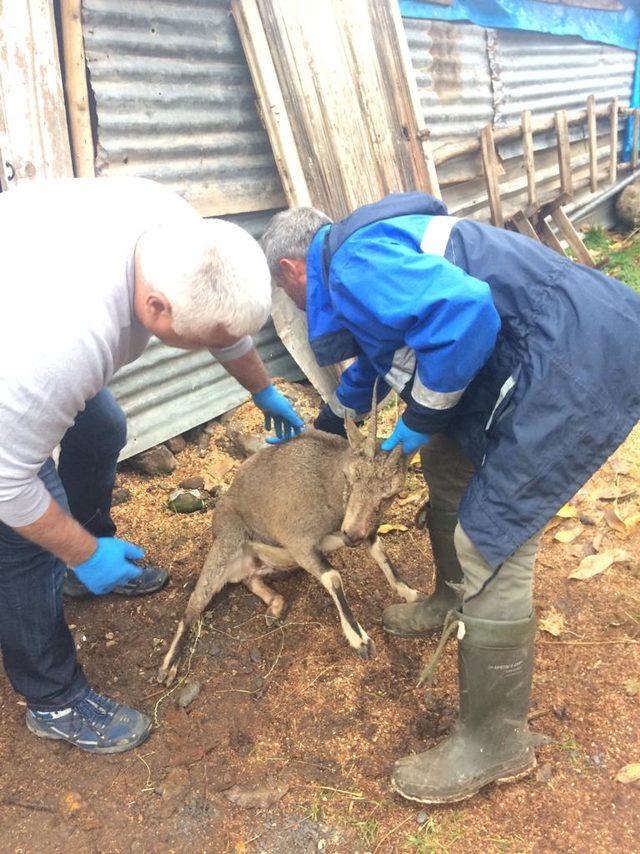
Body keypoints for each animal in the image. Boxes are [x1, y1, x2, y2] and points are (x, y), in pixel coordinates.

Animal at [158, 396, 420, 688]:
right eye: (350, 478)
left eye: (389, 496)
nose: (351, 536)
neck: (329, 488)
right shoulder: (300, 542)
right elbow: (333, 577)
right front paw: (360, 640)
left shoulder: (363, 530)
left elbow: (380, 550)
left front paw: (410, 593)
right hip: (227, 542)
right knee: (194, 604)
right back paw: (168, 667)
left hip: (274, 564)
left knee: (250, 579)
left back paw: (275, 606)